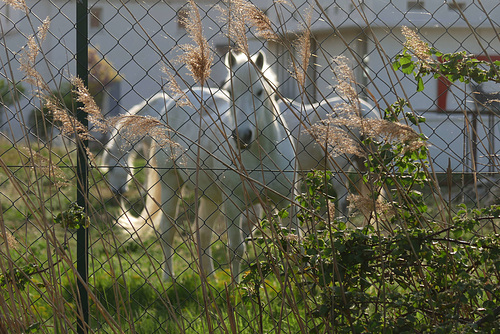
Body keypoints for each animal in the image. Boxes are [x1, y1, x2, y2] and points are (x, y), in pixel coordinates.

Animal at [117, 51, 296, 282]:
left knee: (202, 232)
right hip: (171, 184)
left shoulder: (286, 200)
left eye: (259, 91)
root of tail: (173, 102)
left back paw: (209, 277)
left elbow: (292, 242)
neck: (262, 156)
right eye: (230, 92)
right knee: (167, 231)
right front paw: (236, 287)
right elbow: (235, 249)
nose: (242, 136)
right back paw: (168, 278)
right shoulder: (233, 202)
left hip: (210, 196)